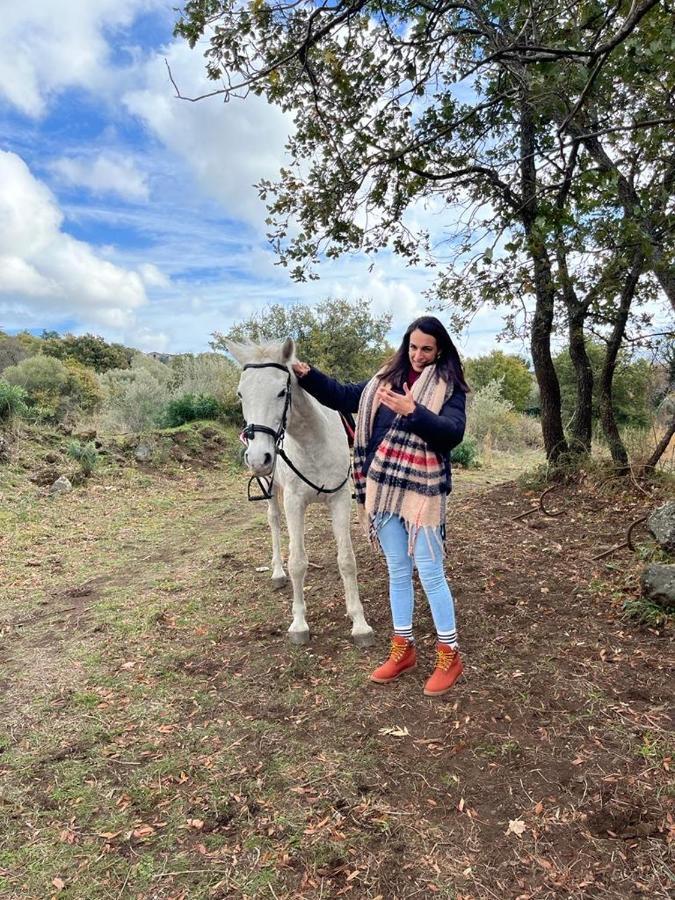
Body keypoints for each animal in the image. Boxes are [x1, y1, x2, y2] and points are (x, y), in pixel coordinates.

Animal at [227, 338, 374, 648]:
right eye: (241, 394)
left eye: (282, 391)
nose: (257, 458)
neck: (312, 441)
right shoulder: (294, 502)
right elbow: (297, 563)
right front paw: (299, 624)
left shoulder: (339, 500)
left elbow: (347, 560)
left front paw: (359, 623)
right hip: (271, 487)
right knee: (274, 522)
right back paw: (277, 572)